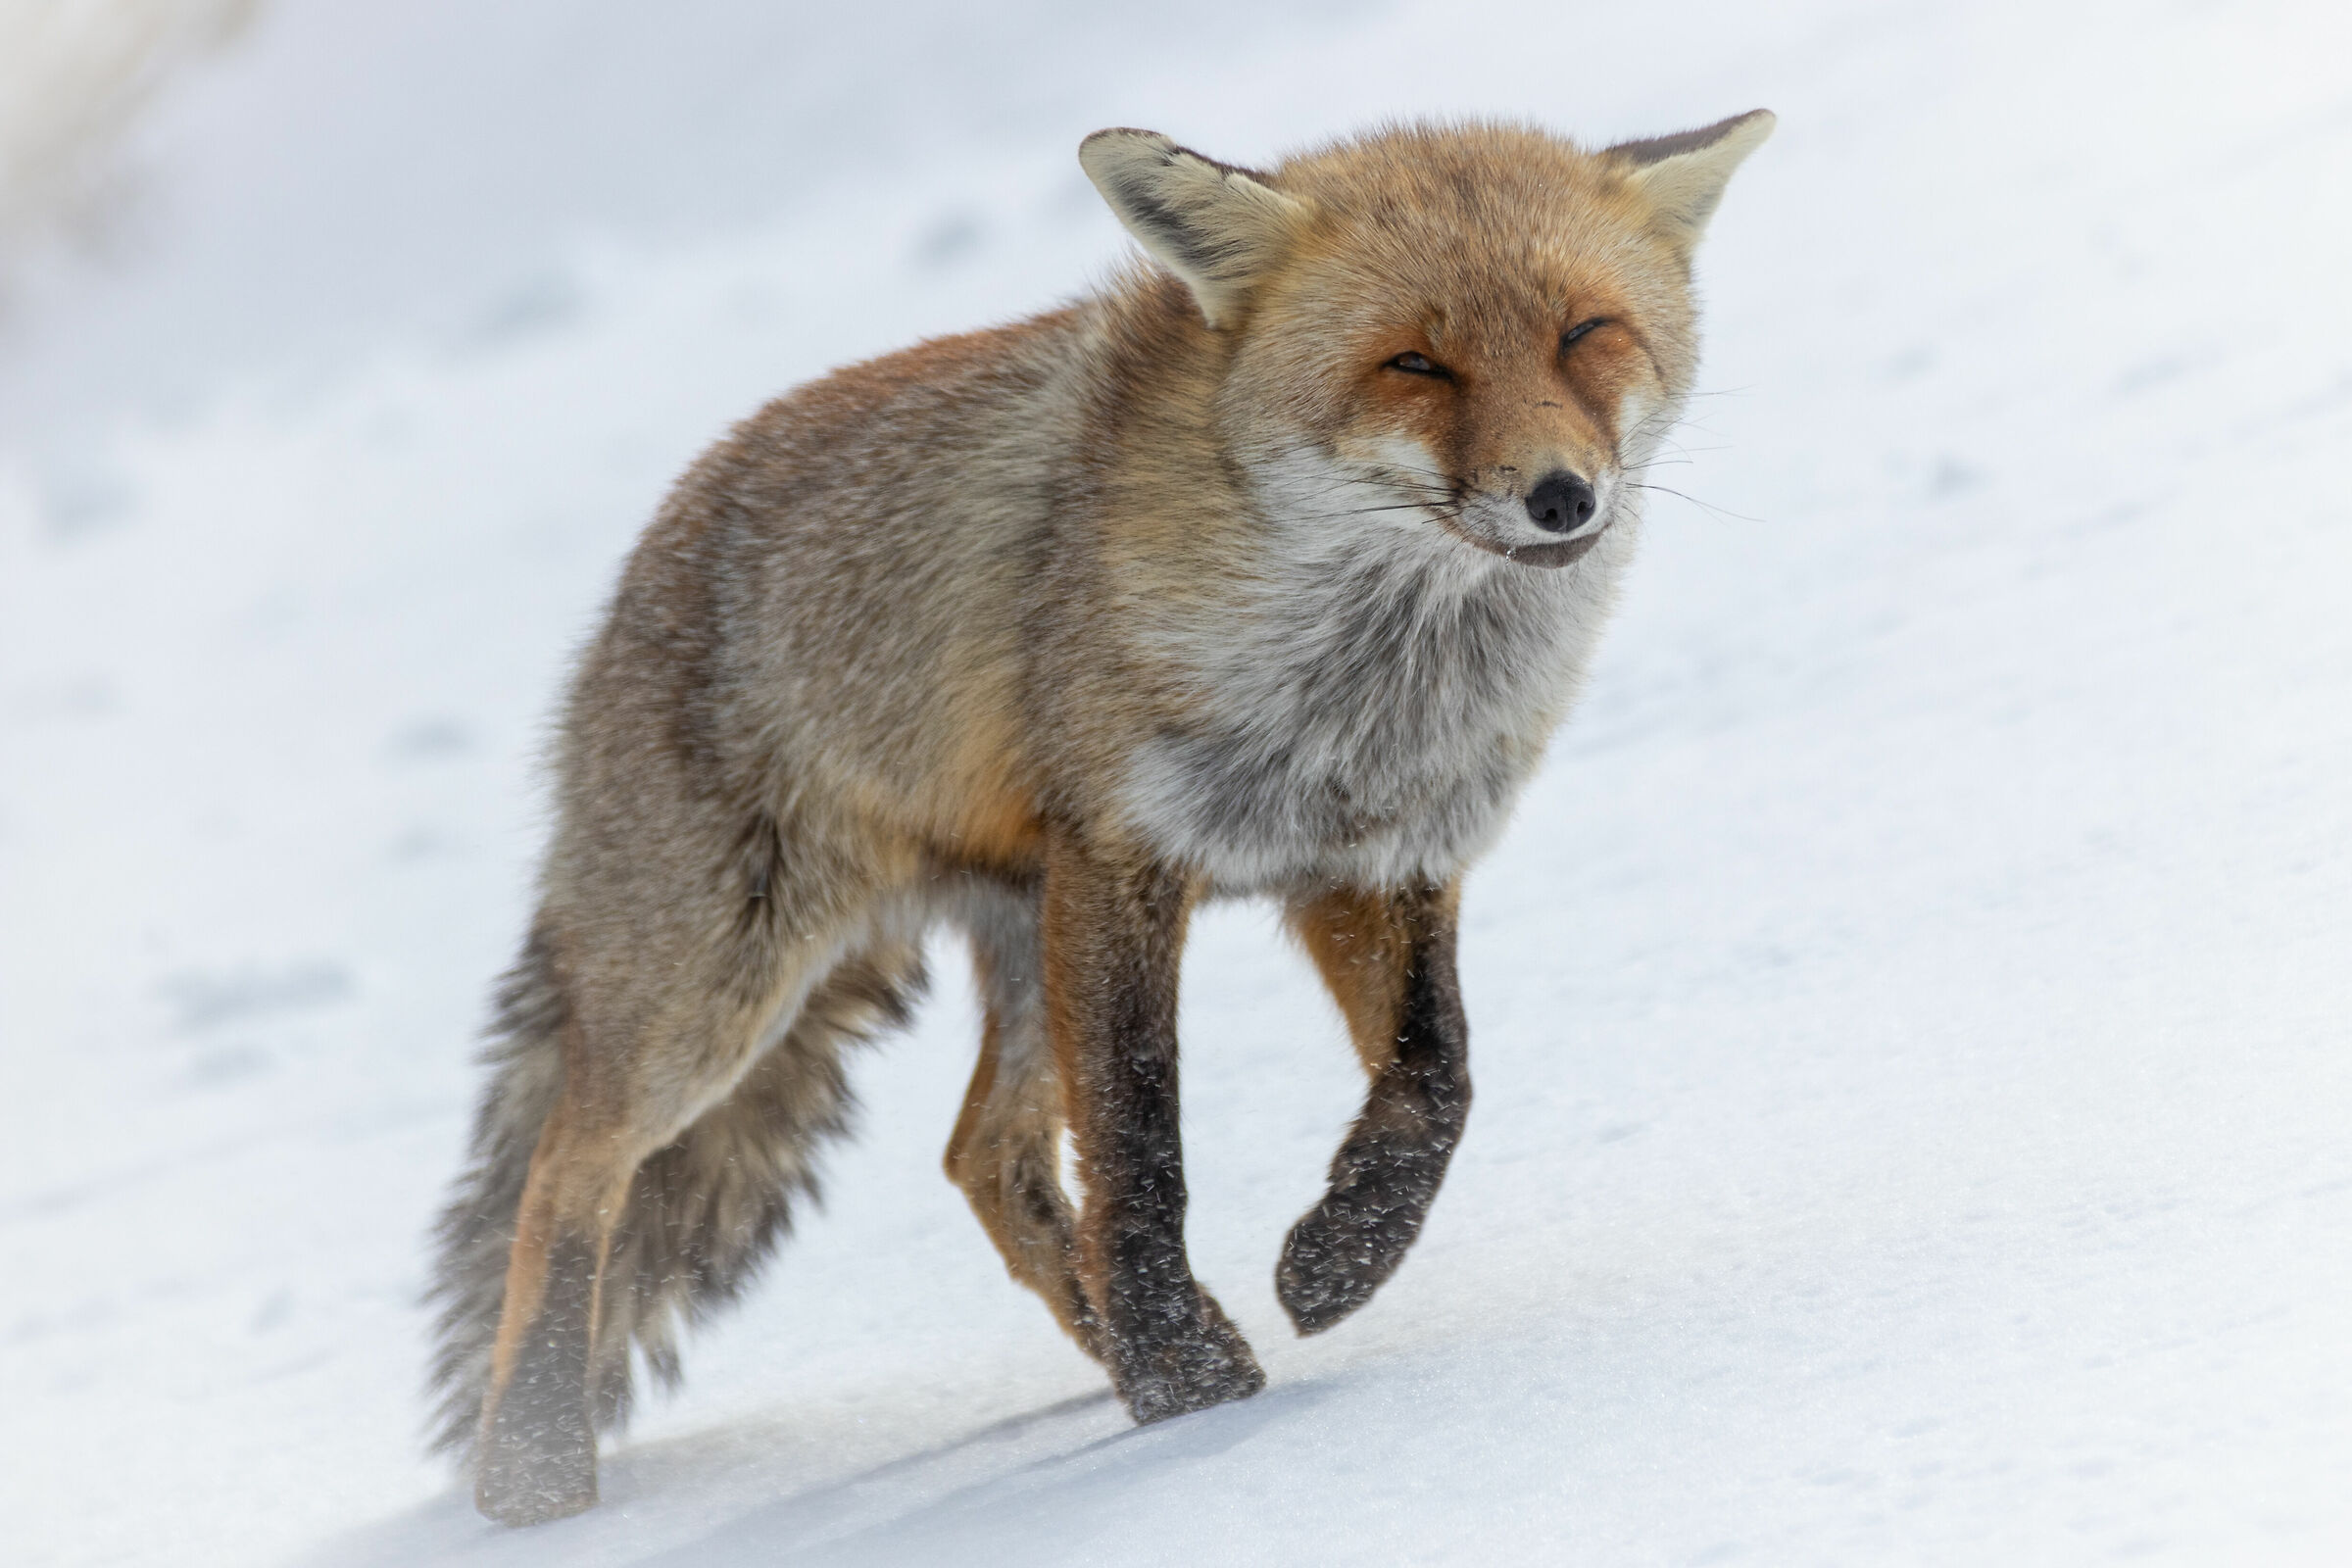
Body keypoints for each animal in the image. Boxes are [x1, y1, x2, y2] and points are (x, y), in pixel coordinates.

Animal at [426, 110, 1774, 1525]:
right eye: (1415, 360)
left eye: (1586, 331)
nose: (1562, 497)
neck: (1364, 682)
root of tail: (638, 571)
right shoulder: (1130, 855)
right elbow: (1138, 1140)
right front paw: (1182, 1382)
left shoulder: (1372, 861)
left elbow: (1436, 1081)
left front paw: (1334, 1263)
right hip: (723, 998)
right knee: (568, 1171)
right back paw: (532, 1475)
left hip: (1020, 937)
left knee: (982, 1155)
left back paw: (1113, 1349)